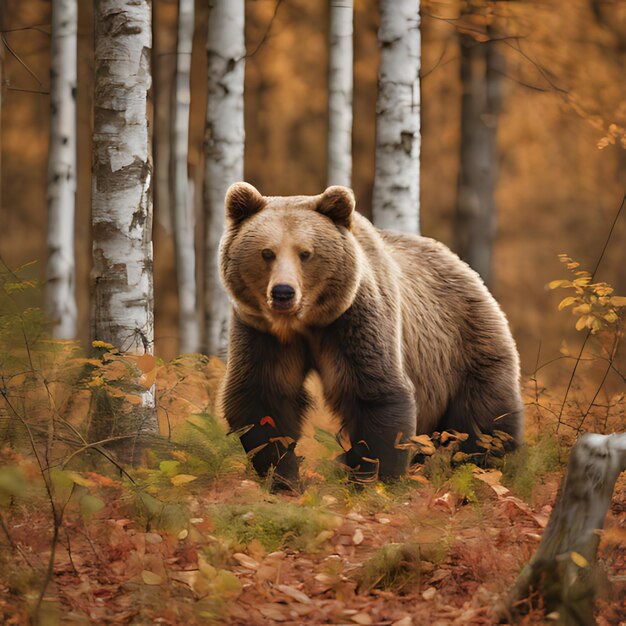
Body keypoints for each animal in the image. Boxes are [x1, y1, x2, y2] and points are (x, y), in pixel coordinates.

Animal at [219, 180, 520, 488]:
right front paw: (282, 477)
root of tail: (464, 266)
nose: (283, 293)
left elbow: (376, 394)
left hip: (465, 345)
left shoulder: (356, 319)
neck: (305, 324)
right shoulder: (262, 333)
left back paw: (486, 465)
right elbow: (262, 397)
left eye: (305, 253)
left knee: (483, 420)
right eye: (267, 253)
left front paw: (373, 478)